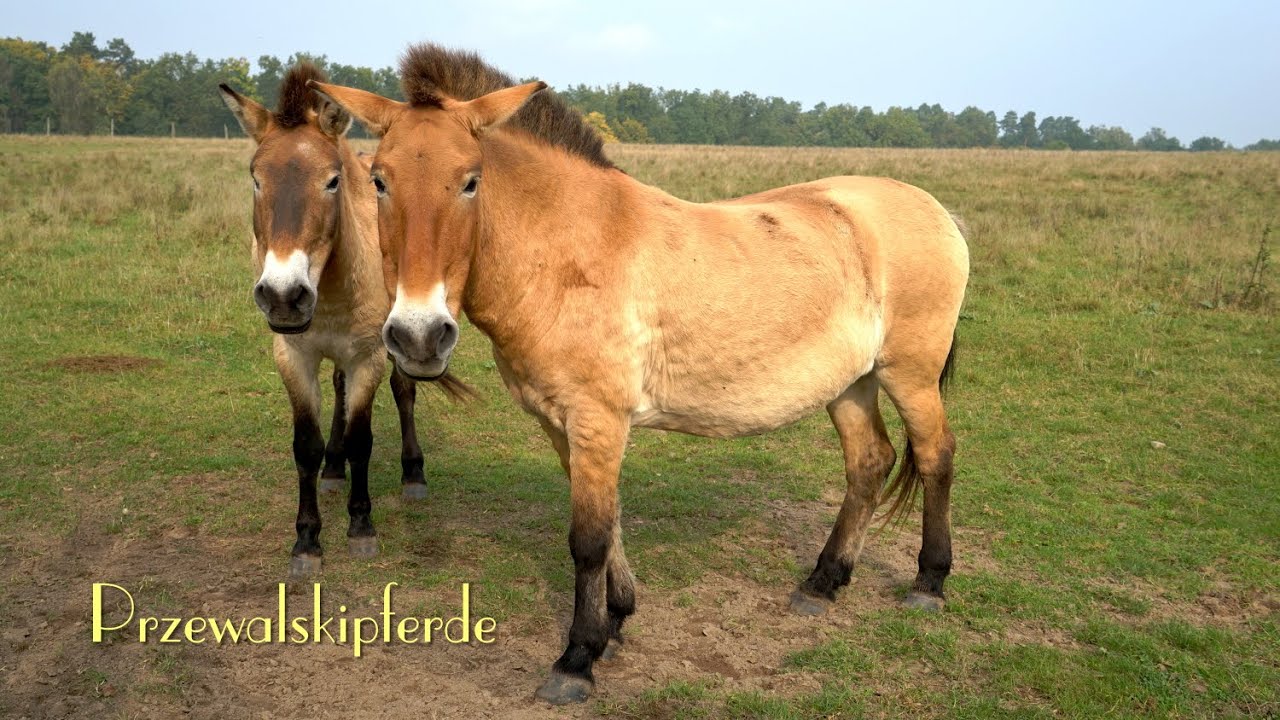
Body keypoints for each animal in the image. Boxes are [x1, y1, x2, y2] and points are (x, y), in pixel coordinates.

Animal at [218, 64, 468, 579]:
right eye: (255, 180)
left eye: (332, 181)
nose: (283, 295)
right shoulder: (292, 355)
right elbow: (306, 445)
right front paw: (307, 540)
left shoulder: (368, 357)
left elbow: (361, 439)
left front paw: (361, 526)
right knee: (336, 392)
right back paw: (333, 470)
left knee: (404, 391)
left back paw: (413, 474)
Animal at [311, 44, 969, 704]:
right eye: (379, 180)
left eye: (471, 180)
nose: (419, 335)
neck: (570, 252)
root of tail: (932, 208)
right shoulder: (562, 423)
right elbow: (610, 523)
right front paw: (617, 617)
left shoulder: (598, 420)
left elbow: (588, 539)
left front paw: (577, 658)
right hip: (851, 385)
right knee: (870, 463)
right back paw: (823, 582)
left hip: (908, 376)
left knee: (935, 453)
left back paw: (928, 583)